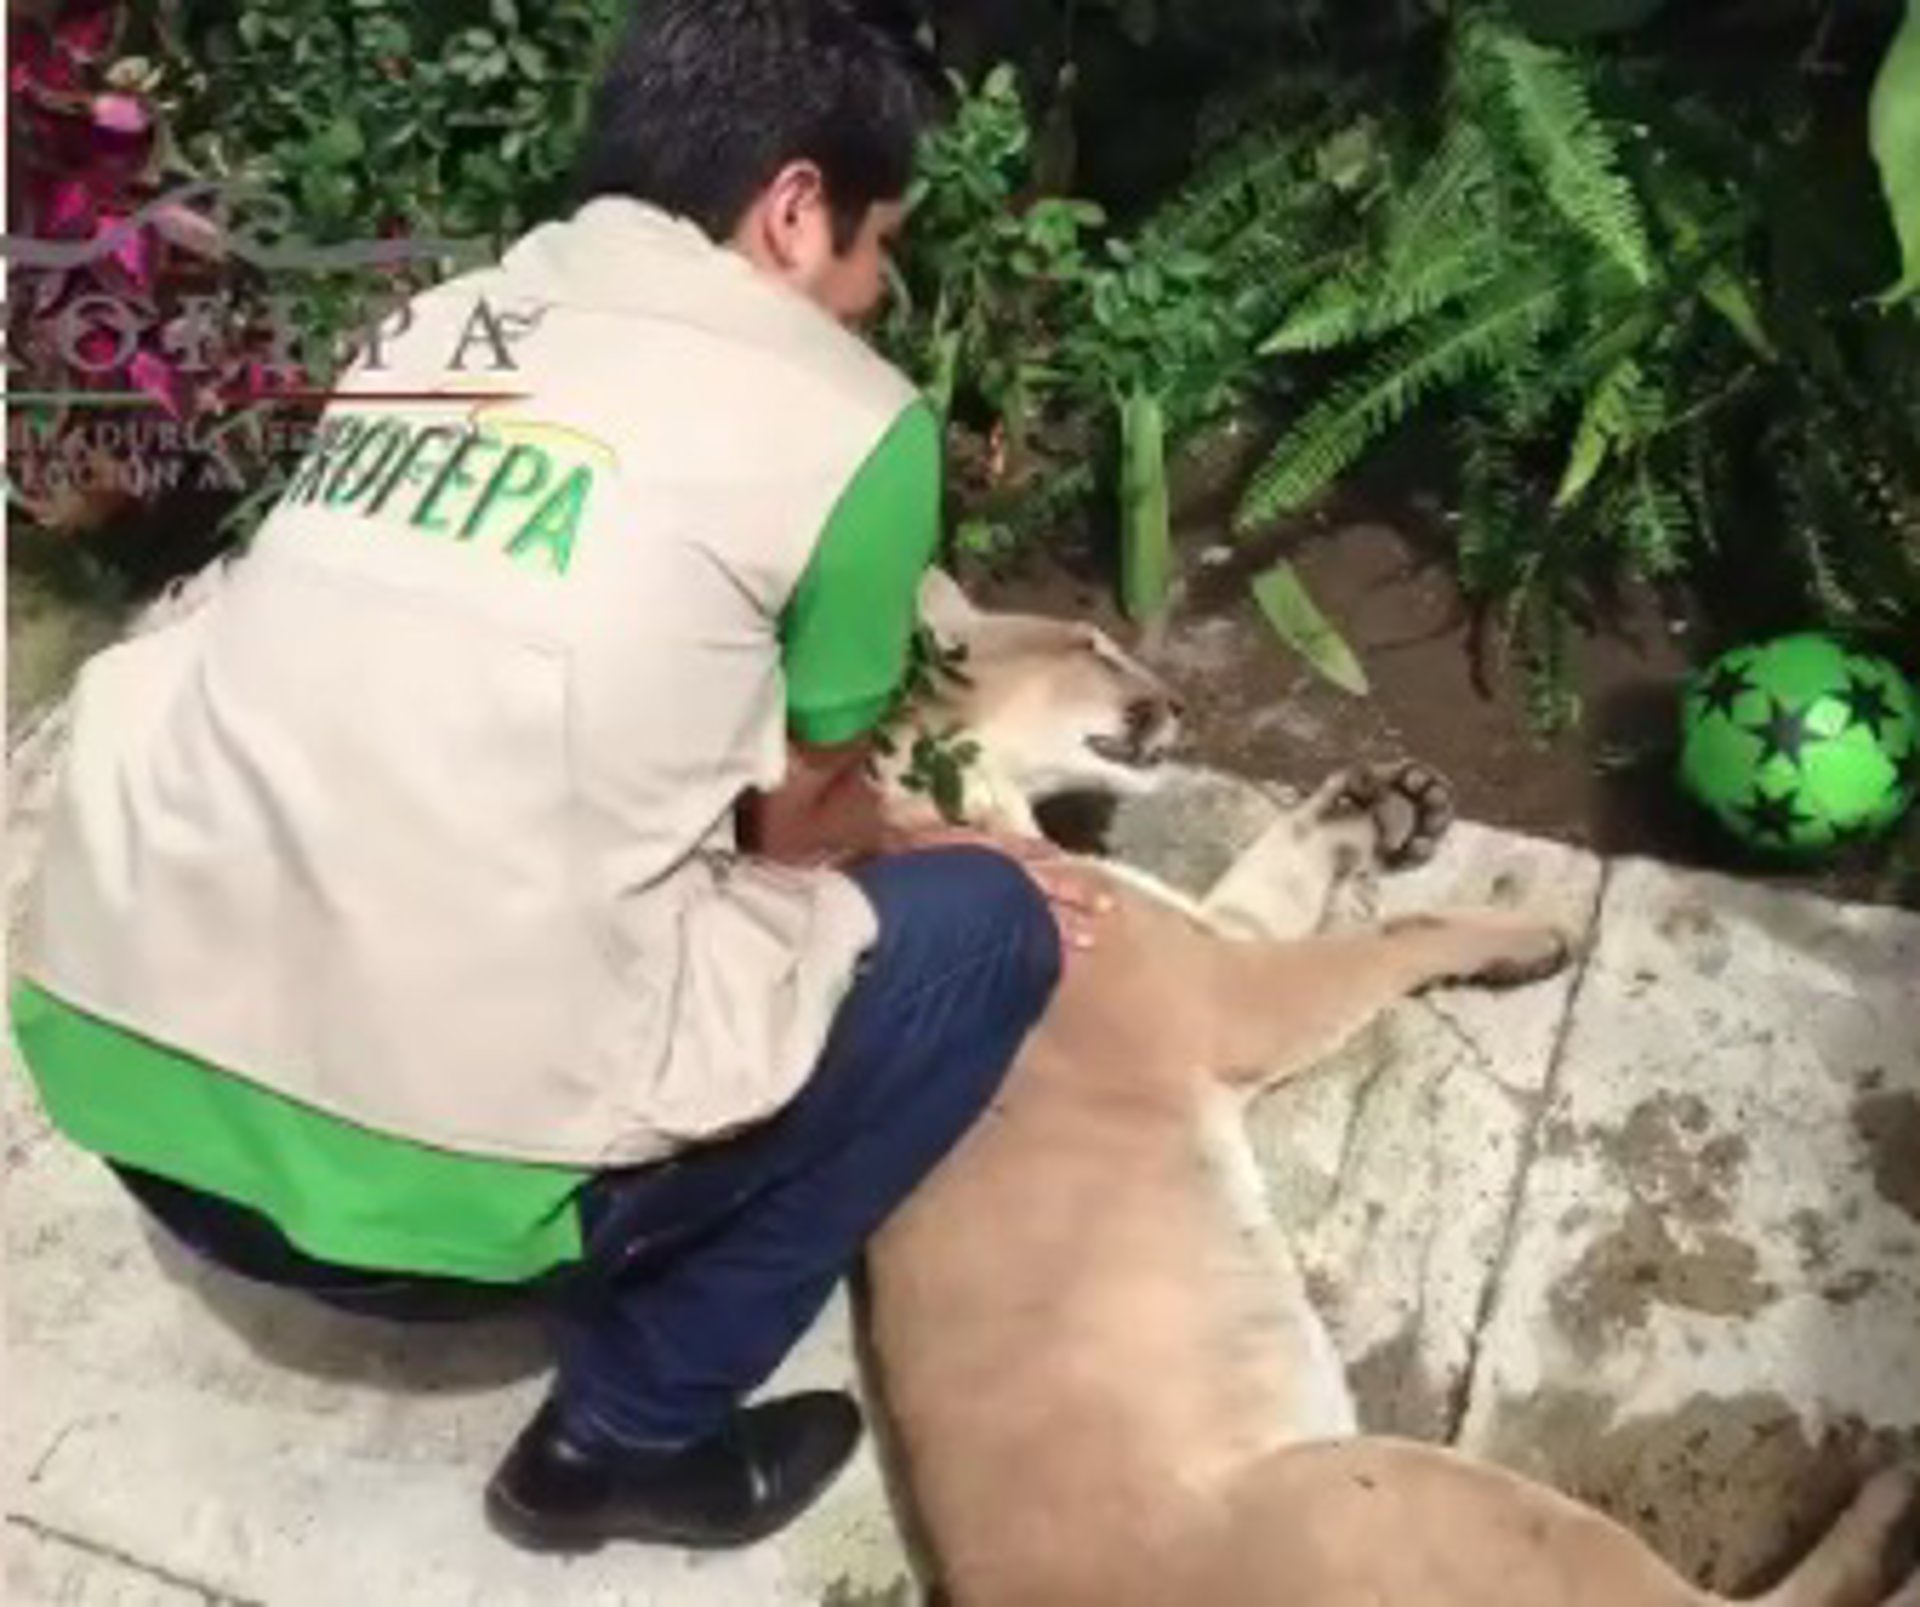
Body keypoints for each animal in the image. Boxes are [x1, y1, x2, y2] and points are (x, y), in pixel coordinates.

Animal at [859, 573, 1919, 1607]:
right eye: (1089, 645)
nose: (1178, 701)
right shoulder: (1235, 994)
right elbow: (1388, 938)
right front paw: (1511, 931)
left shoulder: (1224, 942)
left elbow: (1277, 871)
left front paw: (1372, 803)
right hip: (1423, 1495)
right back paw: (1894, 1494)